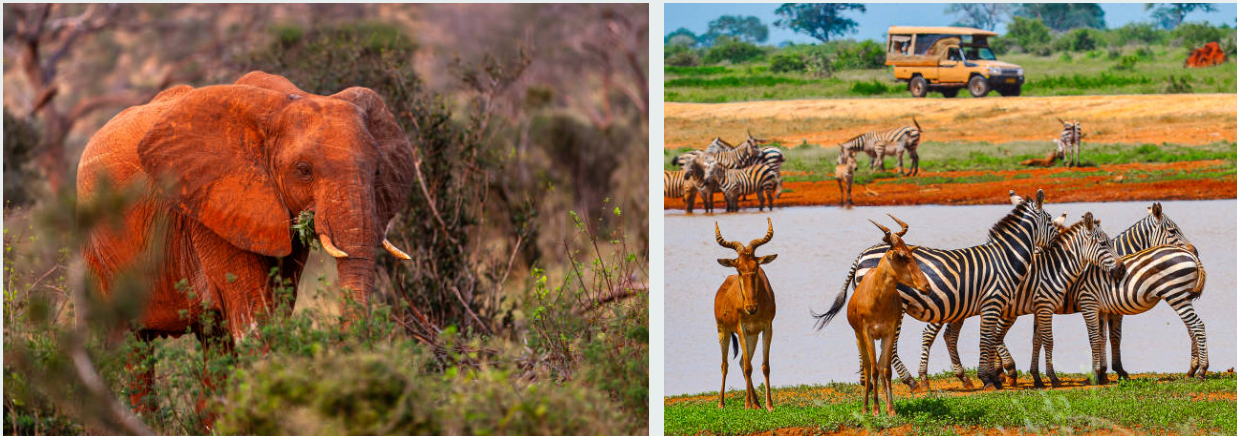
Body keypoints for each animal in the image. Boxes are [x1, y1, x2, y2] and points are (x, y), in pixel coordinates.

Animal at [75, 71, 417, 413]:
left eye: (377, 170)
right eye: (303, 170)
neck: (280, 105)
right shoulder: (214, 209)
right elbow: (254, 323)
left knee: (214, 345)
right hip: (97, 253)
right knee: (129, 347)